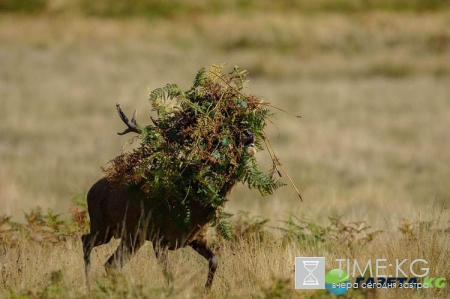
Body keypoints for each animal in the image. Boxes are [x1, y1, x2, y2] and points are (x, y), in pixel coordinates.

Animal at [81, 103, 256, 290]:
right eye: (219, 138)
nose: (249, 133)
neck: (192, 208)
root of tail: (90, 191)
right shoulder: (159, 239)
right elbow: (169, 277)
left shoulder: (196, 238)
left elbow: (214, 260)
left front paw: (206, 290)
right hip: (103, 226)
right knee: (86, 242)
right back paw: (88, 285)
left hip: (130, 236)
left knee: (110, 264)